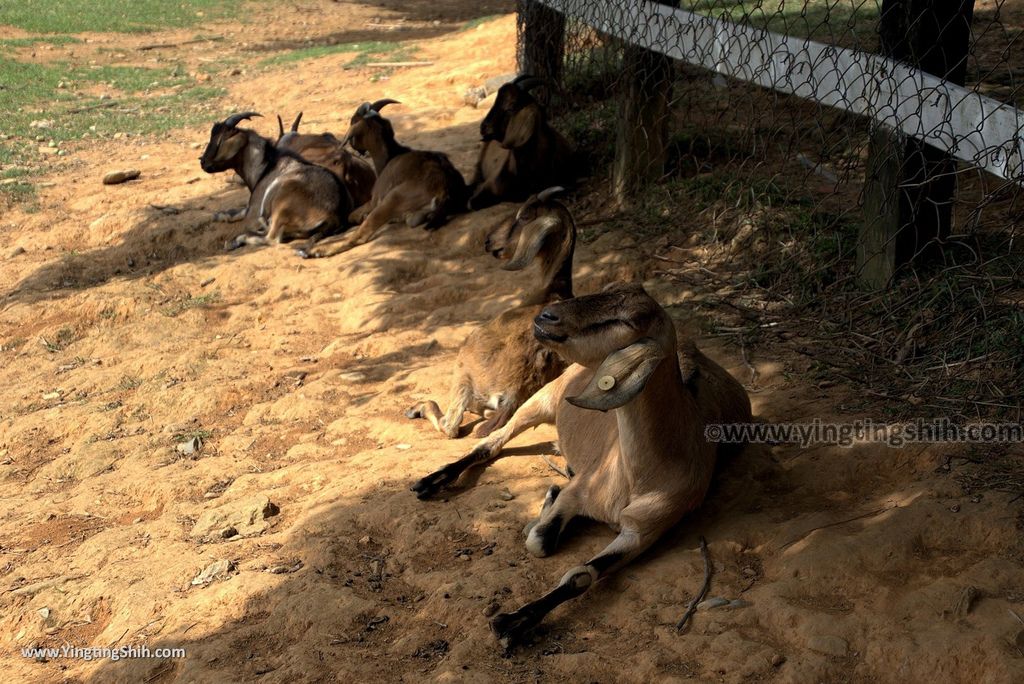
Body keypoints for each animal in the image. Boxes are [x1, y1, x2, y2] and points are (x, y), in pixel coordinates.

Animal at [197, 112, 354, 250]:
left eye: (220, 140)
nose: (203, 162)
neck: (265, 166)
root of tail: (334, 215)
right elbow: (238, 211)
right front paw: (218, 215)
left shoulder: (253, 213)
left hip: (282, 206)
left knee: (271, 238)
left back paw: (236, 241)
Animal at [296, 100, 468, 260]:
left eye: (353, 121)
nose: (354, 146)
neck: (391, 156)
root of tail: (445, 187)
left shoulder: (374, 201)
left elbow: (352, 215)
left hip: (392, 199)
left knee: (359, 237)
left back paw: (314, 251)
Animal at [403, 185, 577, 438]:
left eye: (523, 216)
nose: (489, 241)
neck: (551, 290)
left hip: (464, 369)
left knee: (451, 425)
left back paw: (417, 408)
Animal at [411, 284, 757, 651]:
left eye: (630, 320)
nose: (546, 316)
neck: (641, 474)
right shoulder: (579, 493)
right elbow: (539, 541)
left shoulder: (644, 531)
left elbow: (579, 574)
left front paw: (511, 624)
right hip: (541, 400)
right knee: (490, 443)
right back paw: (428, 481)